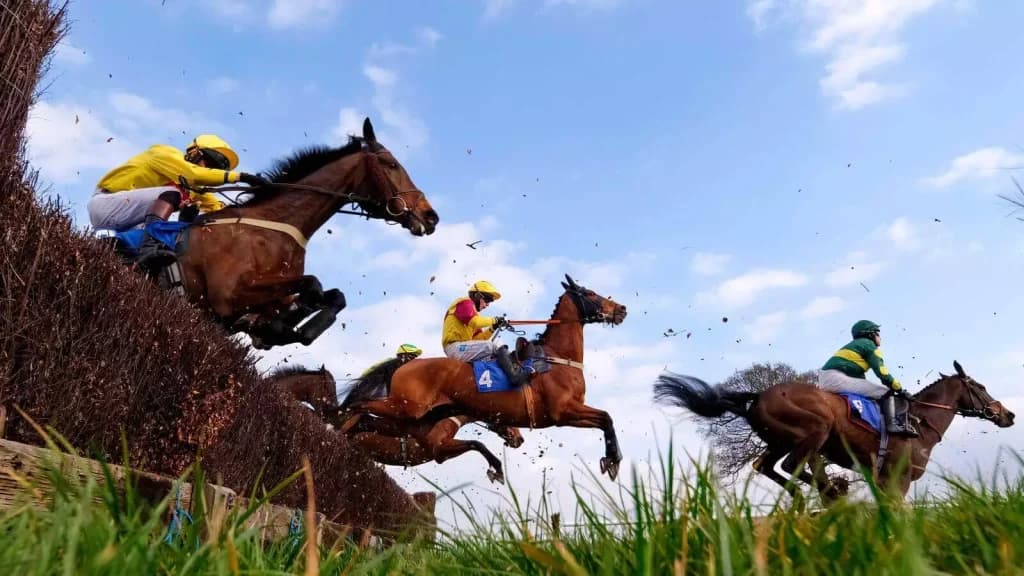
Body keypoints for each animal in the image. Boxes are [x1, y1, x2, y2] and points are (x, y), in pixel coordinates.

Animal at [176, 118, 438, 349]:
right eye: (391, 164)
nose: (430, 216)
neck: (272, 227)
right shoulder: (228, 295)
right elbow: (313, 284)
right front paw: (277, 326)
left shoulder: (275, 297)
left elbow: (334, 296)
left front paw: (278, 327)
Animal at [340, 274, 628, 484]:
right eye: (589, 293)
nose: (622, 309)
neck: (557, 358)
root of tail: (404, 367)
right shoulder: (563, 411)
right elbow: (606, 418)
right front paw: (613, 459)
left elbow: (606, 420)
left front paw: (612, 459)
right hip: (406, 408)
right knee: (358, 406)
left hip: (413, 421)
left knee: (366, 419)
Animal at [654, 361, 1016, 501]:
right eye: (980, 386)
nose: (1008, 414)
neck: (919, 422)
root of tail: (758, 396)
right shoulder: (897, 480)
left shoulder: (881, 480)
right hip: (814, 428)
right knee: (792, 465)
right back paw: (829, 490)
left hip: (780, 440)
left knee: (766, 465)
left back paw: (820, 492)